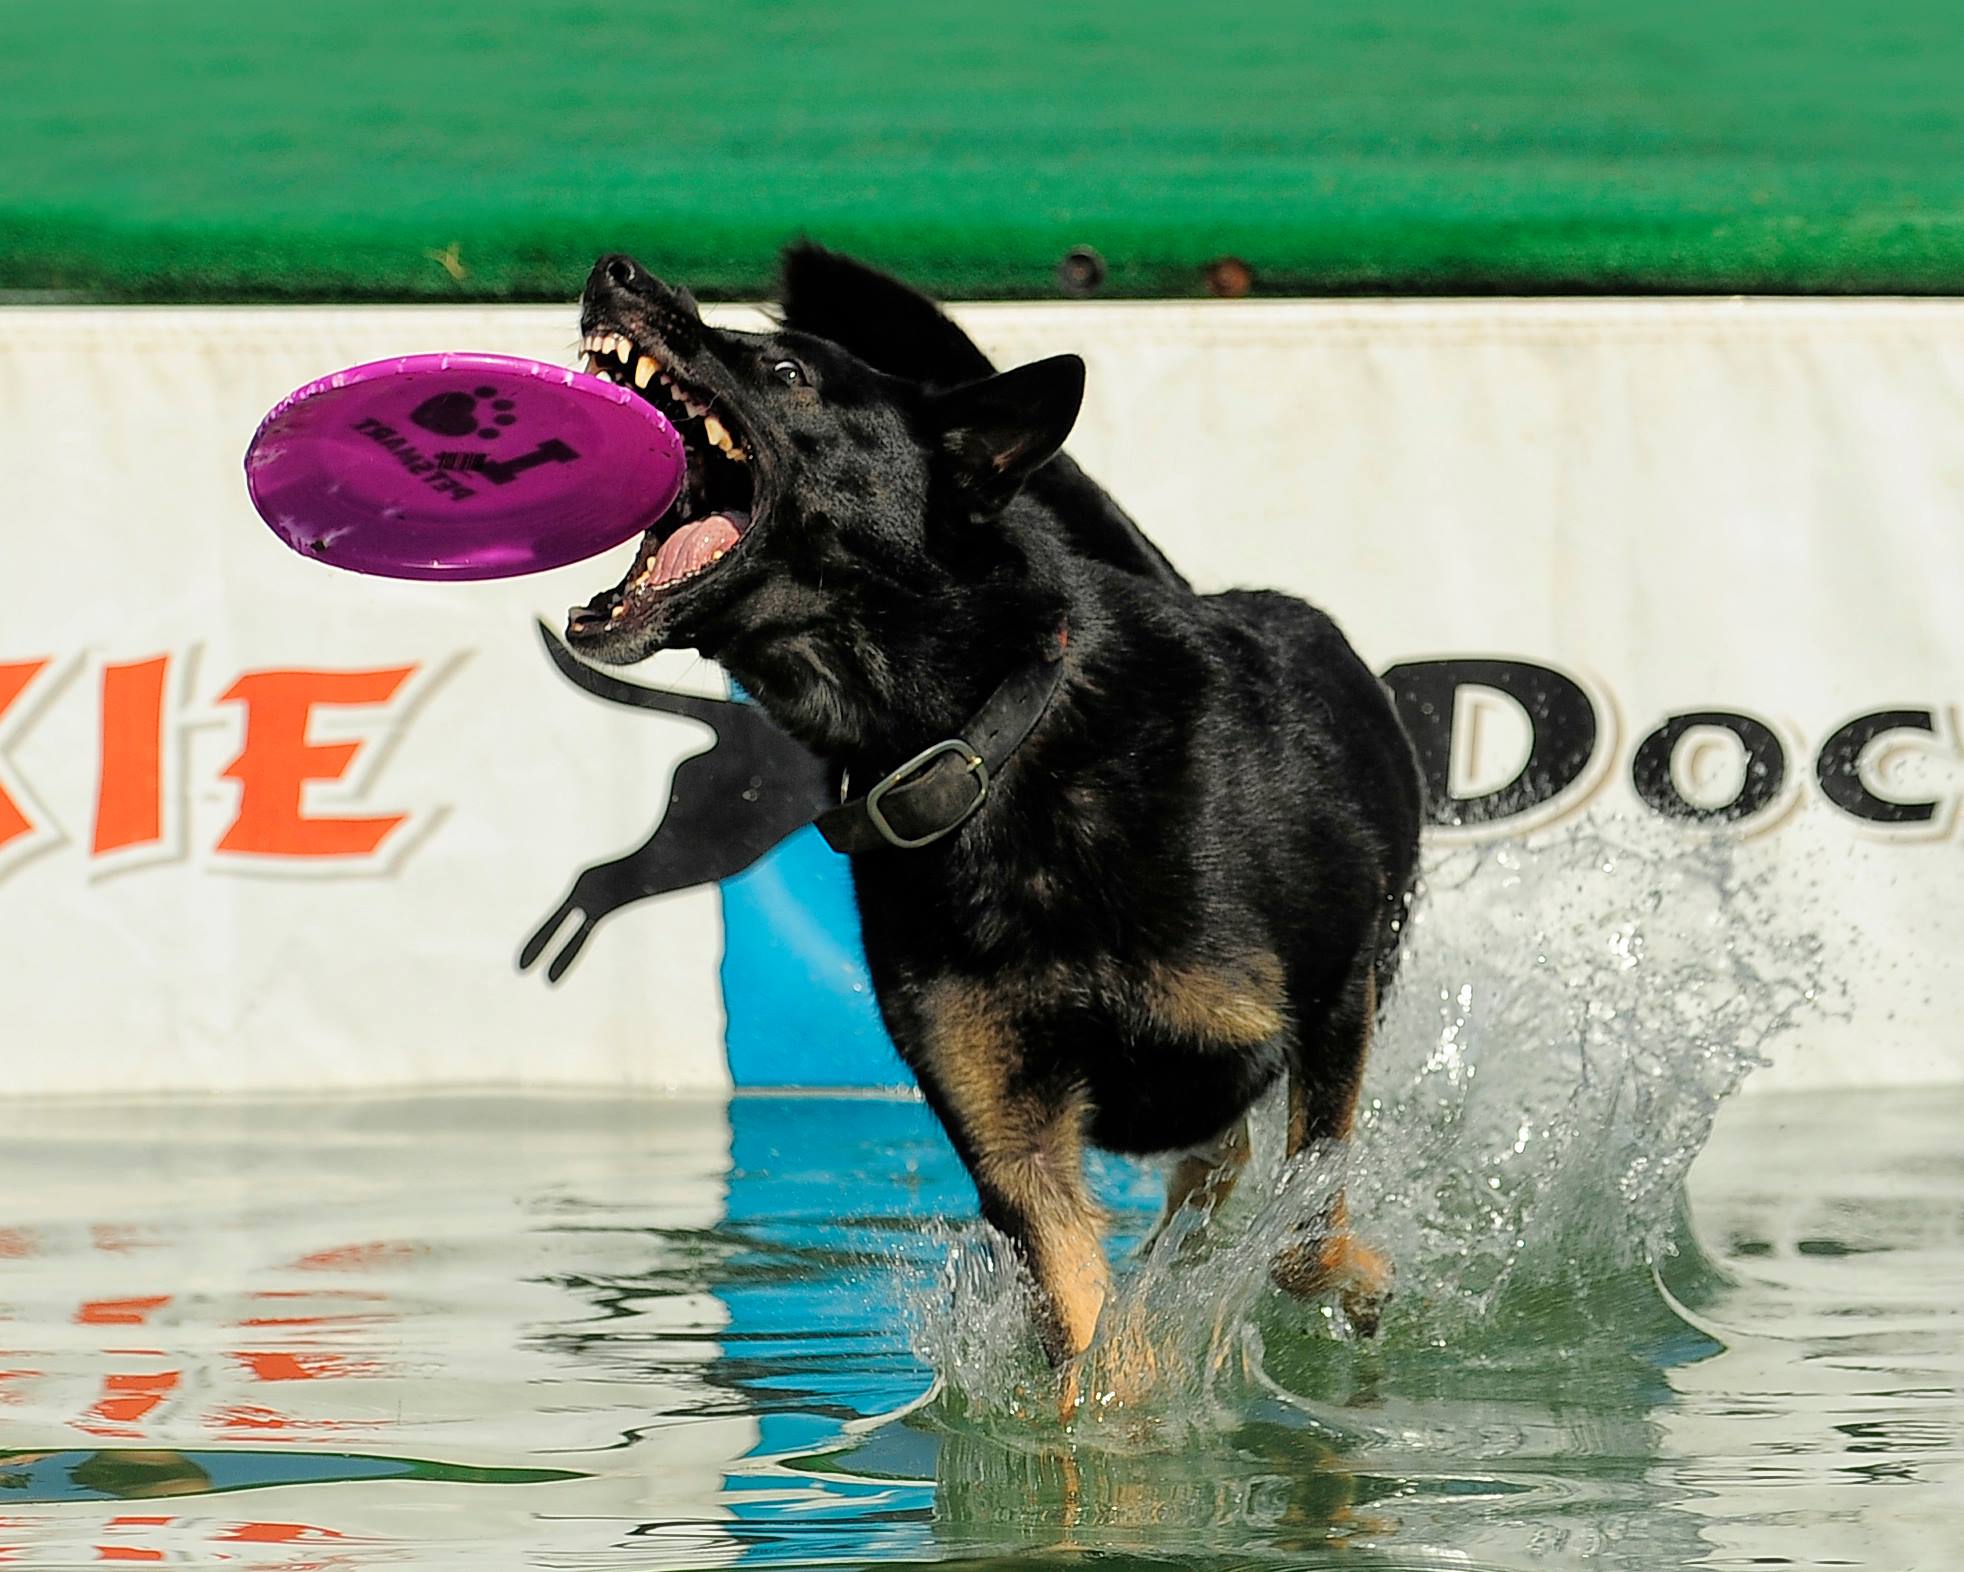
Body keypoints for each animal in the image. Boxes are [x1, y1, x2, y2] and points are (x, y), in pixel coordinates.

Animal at [564, 246, 1424, 1388]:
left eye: (788, 371)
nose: (615, 271)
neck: (981, 738)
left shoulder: (1332, 993)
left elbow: (1304, 1225)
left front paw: (1351, 1283)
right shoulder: (1004, 1120)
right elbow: (1083, 1320)